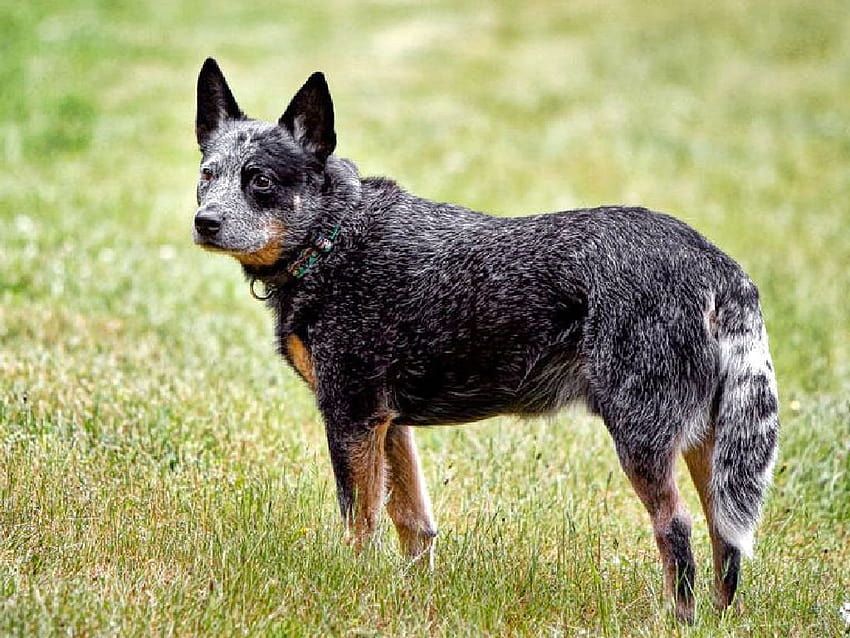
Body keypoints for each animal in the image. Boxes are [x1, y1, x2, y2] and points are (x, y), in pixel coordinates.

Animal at [190, 58, 776, 624]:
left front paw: (352, 590)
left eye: (261, 180)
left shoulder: (350, 414)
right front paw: (409, 597)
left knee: (676, 527)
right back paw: (721, 616)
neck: (333, 238)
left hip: (642, 433)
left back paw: (680, 617)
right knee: (724, 533)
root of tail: (717, 266)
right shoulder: (389, 422)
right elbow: (412, 522)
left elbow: (361, 523)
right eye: (207, 175)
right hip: (711, 444)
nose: (204, 221)